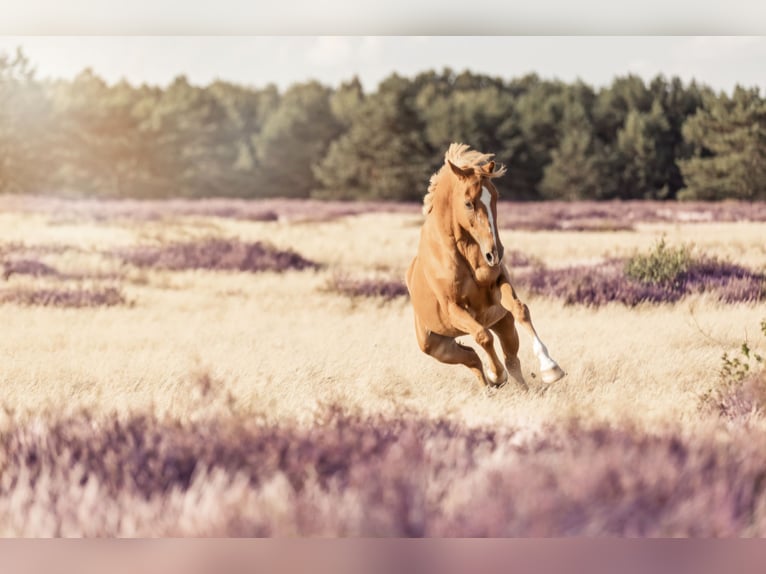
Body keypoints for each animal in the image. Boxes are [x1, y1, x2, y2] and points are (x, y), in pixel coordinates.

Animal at [405, 143, 564, 389]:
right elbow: (483, 336)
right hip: (438, 347)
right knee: (473, 357)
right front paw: (496, 375)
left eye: (495, 197)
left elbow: (521, 310)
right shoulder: (453, 308)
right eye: (468, 203)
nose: (494, 254)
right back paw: (492, 382)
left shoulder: (498, 286)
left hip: (502, 323)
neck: (464, 254)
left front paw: (551, 368)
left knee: (508, 359)